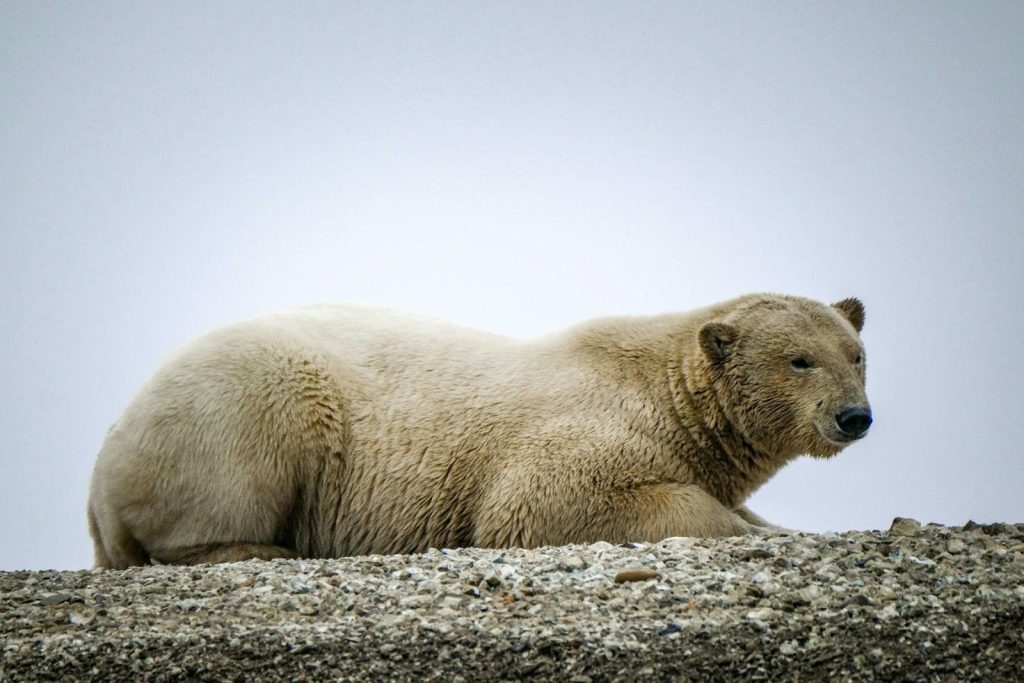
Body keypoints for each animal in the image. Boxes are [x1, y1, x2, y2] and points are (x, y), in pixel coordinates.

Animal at [87, 293, 871, 567]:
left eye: (855, 353)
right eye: (799, 359)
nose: (854, 416)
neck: (666, 388)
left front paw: (784, 525)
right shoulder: (581, 431)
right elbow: (544, 502)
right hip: (246, 399)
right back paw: (259, 546)